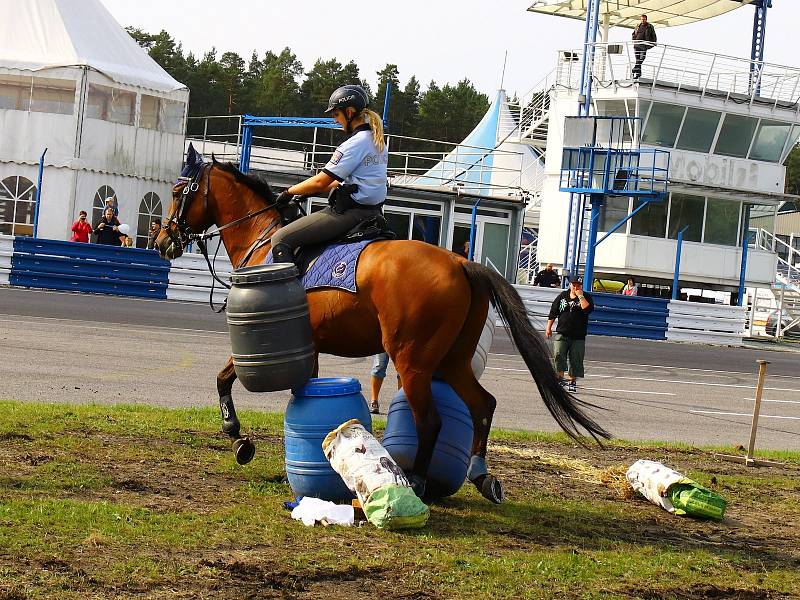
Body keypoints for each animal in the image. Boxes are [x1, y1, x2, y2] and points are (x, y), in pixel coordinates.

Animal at [155, 154, 608, 502]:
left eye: (178, 192)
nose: (163, 240)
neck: (265, 240)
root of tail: (461, 262)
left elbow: (223, 378)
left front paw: (237, 437)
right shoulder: (309, 350)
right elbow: (301, 397)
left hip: (414, 362)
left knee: (431, 422)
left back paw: (419, 481)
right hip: (452, 362)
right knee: (483, 405)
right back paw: (481, 476)